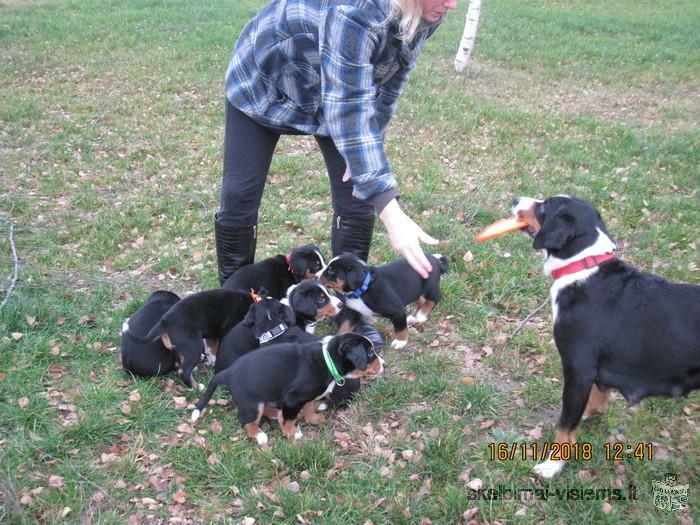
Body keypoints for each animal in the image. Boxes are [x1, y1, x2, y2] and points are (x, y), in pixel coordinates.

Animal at [190, 332, 382, 442]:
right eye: (370, 353)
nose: (384, 365)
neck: (328, 359)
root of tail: (228, 373)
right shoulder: (293, 398)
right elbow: (289, 419)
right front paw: (292, 433)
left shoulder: (307, 397)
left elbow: (309, 407)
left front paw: (314, 419)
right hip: (252, 403)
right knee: (246, 420)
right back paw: (259, 435)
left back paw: (276, 414)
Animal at [318, 253, 448, 348]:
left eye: (330, 271)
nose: (317, 275)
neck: (363, 289)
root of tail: (436, 260)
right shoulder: (353, 311)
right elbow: (345, 326)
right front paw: (334, 339)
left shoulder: (397, 310)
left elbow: (400, 328)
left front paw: (400, 341)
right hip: (415, 290)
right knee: (420, 300)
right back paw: (414, 317)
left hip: (430, 287)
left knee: (434, 298)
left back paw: (421, 314)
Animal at [508, 194, 700, 476]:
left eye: (543, 207)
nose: (515, 198)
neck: (583, 269)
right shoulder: (598, 371)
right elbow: (595, 400)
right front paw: (589, 415)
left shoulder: (579, 369)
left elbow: (565, 427)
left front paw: (553, 465)